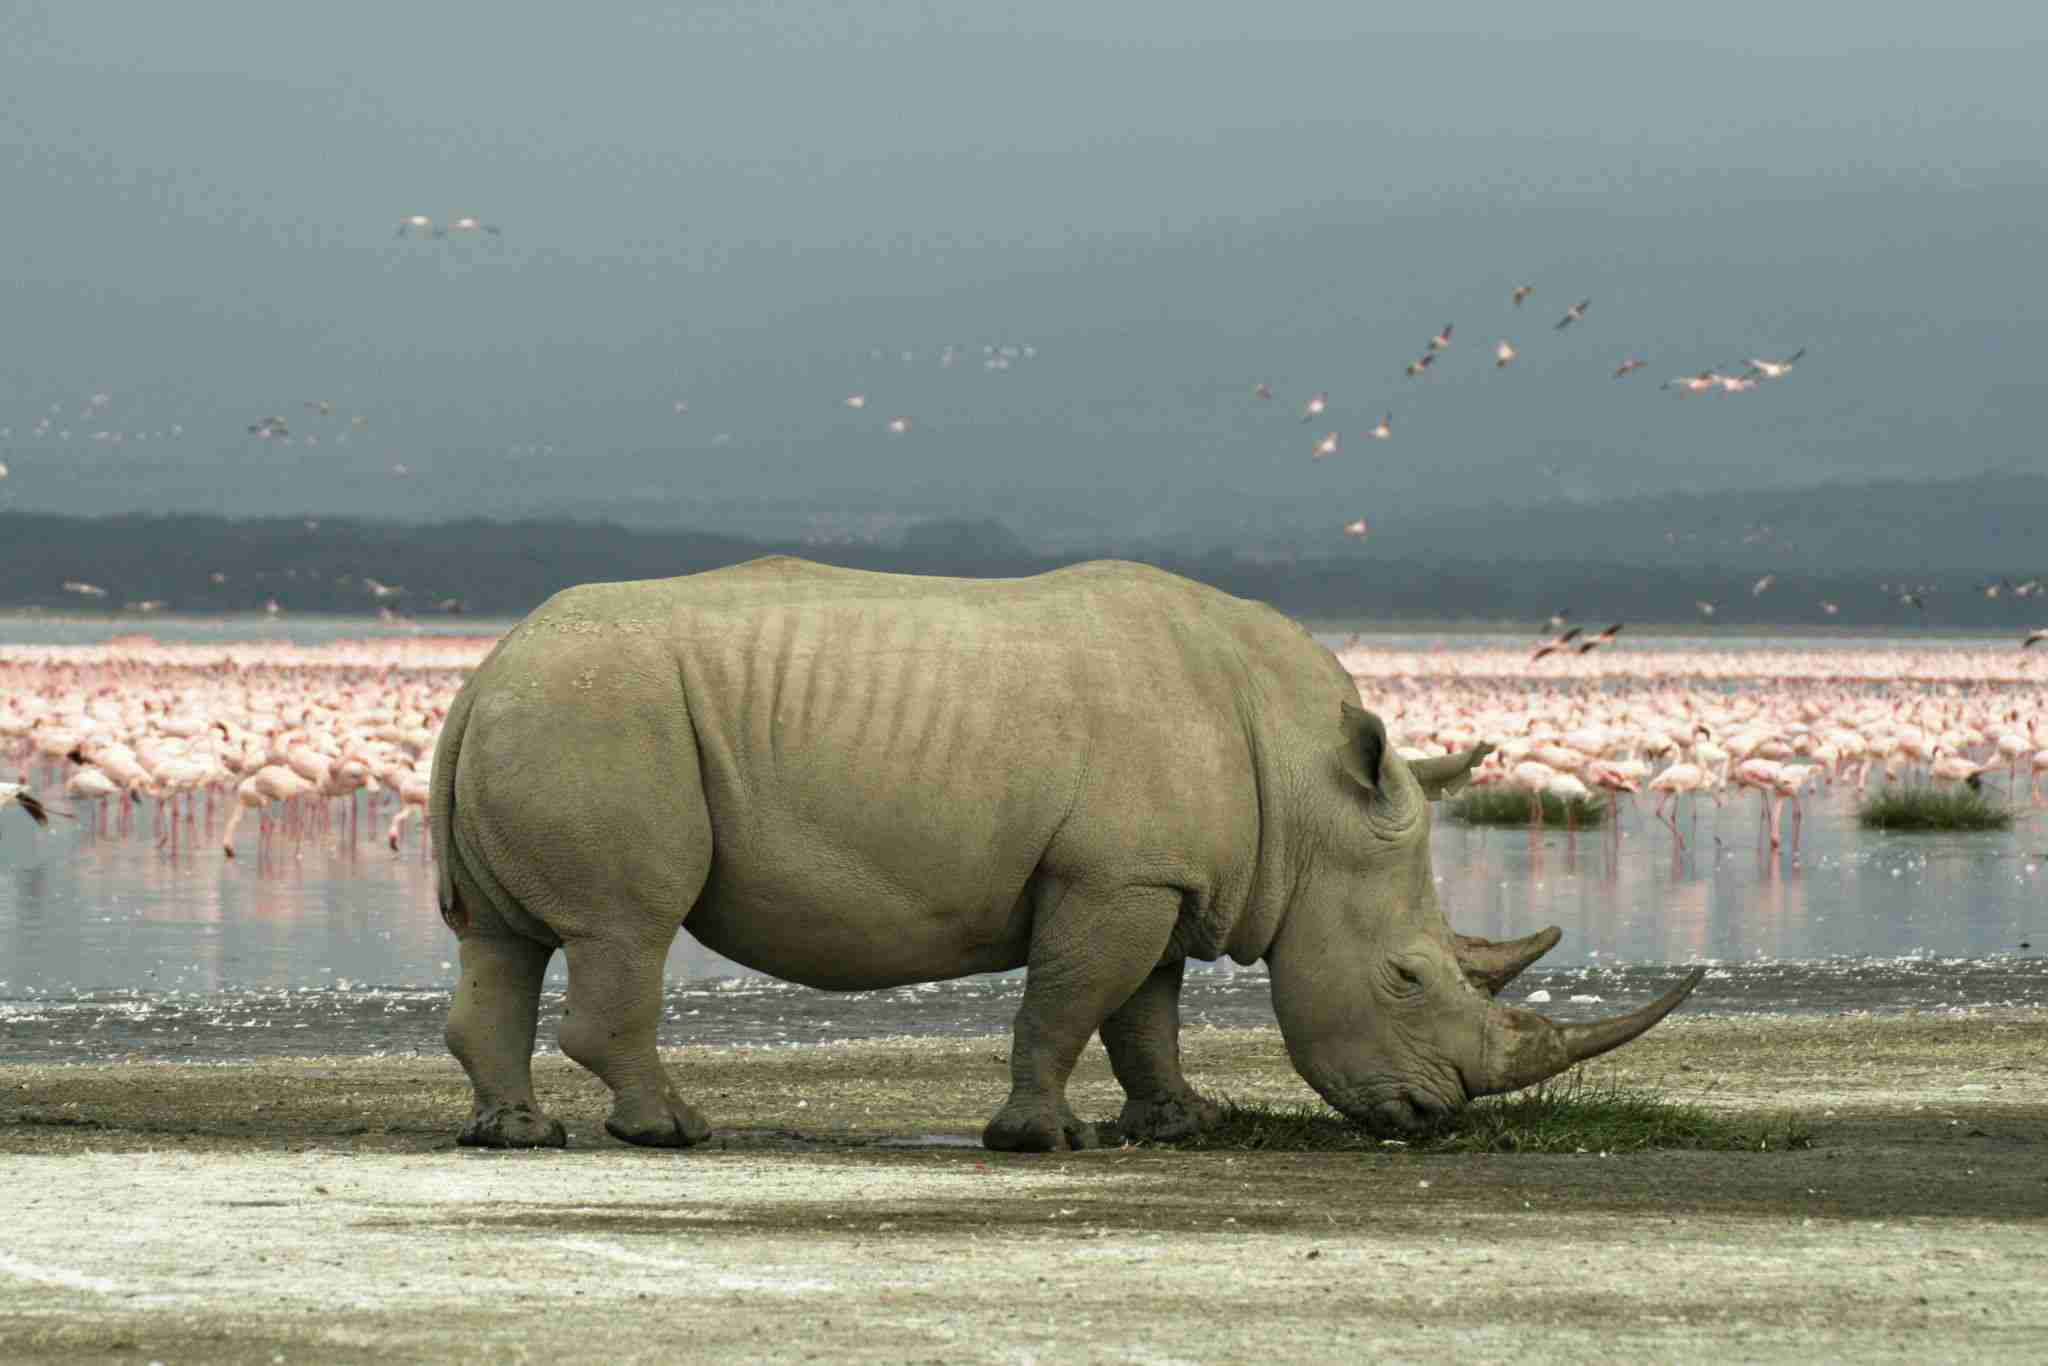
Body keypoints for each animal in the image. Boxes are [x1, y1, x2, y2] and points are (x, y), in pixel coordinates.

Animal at [430, 556, 1701, 1152]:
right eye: (1406, 976)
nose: (1432, 1117)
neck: (1304, 795)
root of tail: (487, 665)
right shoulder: (1114, 874)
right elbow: (1069, 1001)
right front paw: (1043, 1138)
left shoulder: (1162, 874)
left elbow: (1145, 1013)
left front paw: (1183, 1123)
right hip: (602, 714)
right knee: (625, 928)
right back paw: (675, 1131)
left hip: (549, 710)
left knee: (500, 940)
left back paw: (518, 1134)